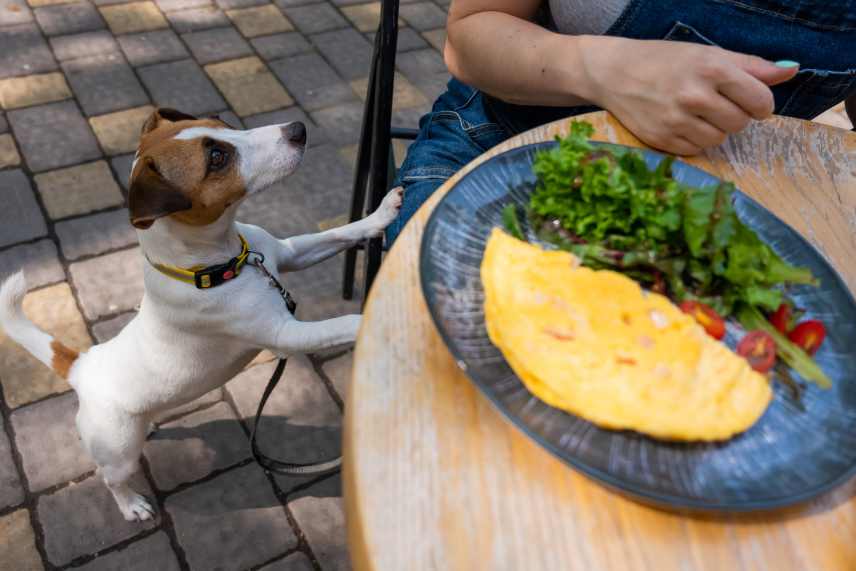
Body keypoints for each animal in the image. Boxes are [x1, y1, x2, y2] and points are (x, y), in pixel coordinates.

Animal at [0, 108, 402, 524]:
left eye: (222, 125)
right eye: (217, 158)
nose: (297, 129)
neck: (225, 263)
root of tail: (82, 365)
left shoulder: (288, 253)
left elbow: (340, 233)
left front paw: (382, 213)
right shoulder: (283, 334)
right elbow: (343, 324)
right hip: (118, 450)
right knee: (109, 477)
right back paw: (131, 505)